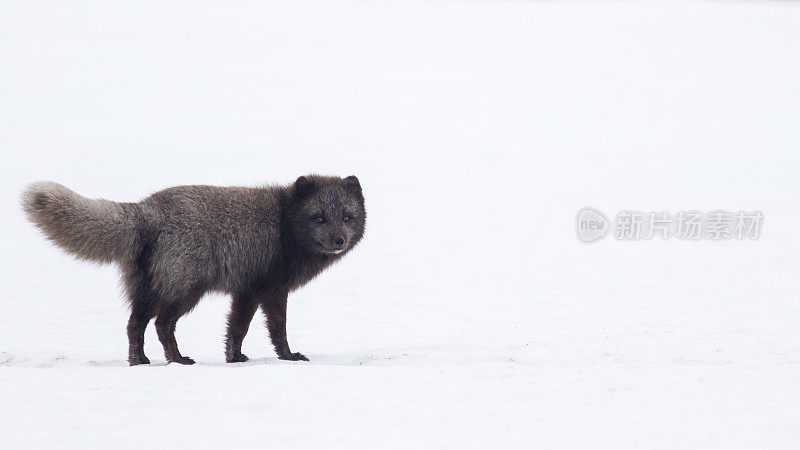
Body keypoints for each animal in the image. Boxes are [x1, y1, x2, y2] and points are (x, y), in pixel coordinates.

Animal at [21, 175, 366, 366]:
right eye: (318, 217)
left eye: (347, 216)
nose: (339, 240)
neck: (285, 224)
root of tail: (145, 211)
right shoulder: (271, 289)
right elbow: (277, 329)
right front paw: (288, 357)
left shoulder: (246, 291)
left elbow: (237, 328)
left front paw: (234, 358)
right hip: (184, 291)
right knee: (161, 325)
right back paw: (177, 360)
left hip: (147, 290)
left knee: (134, 325)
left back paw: (139, 361)